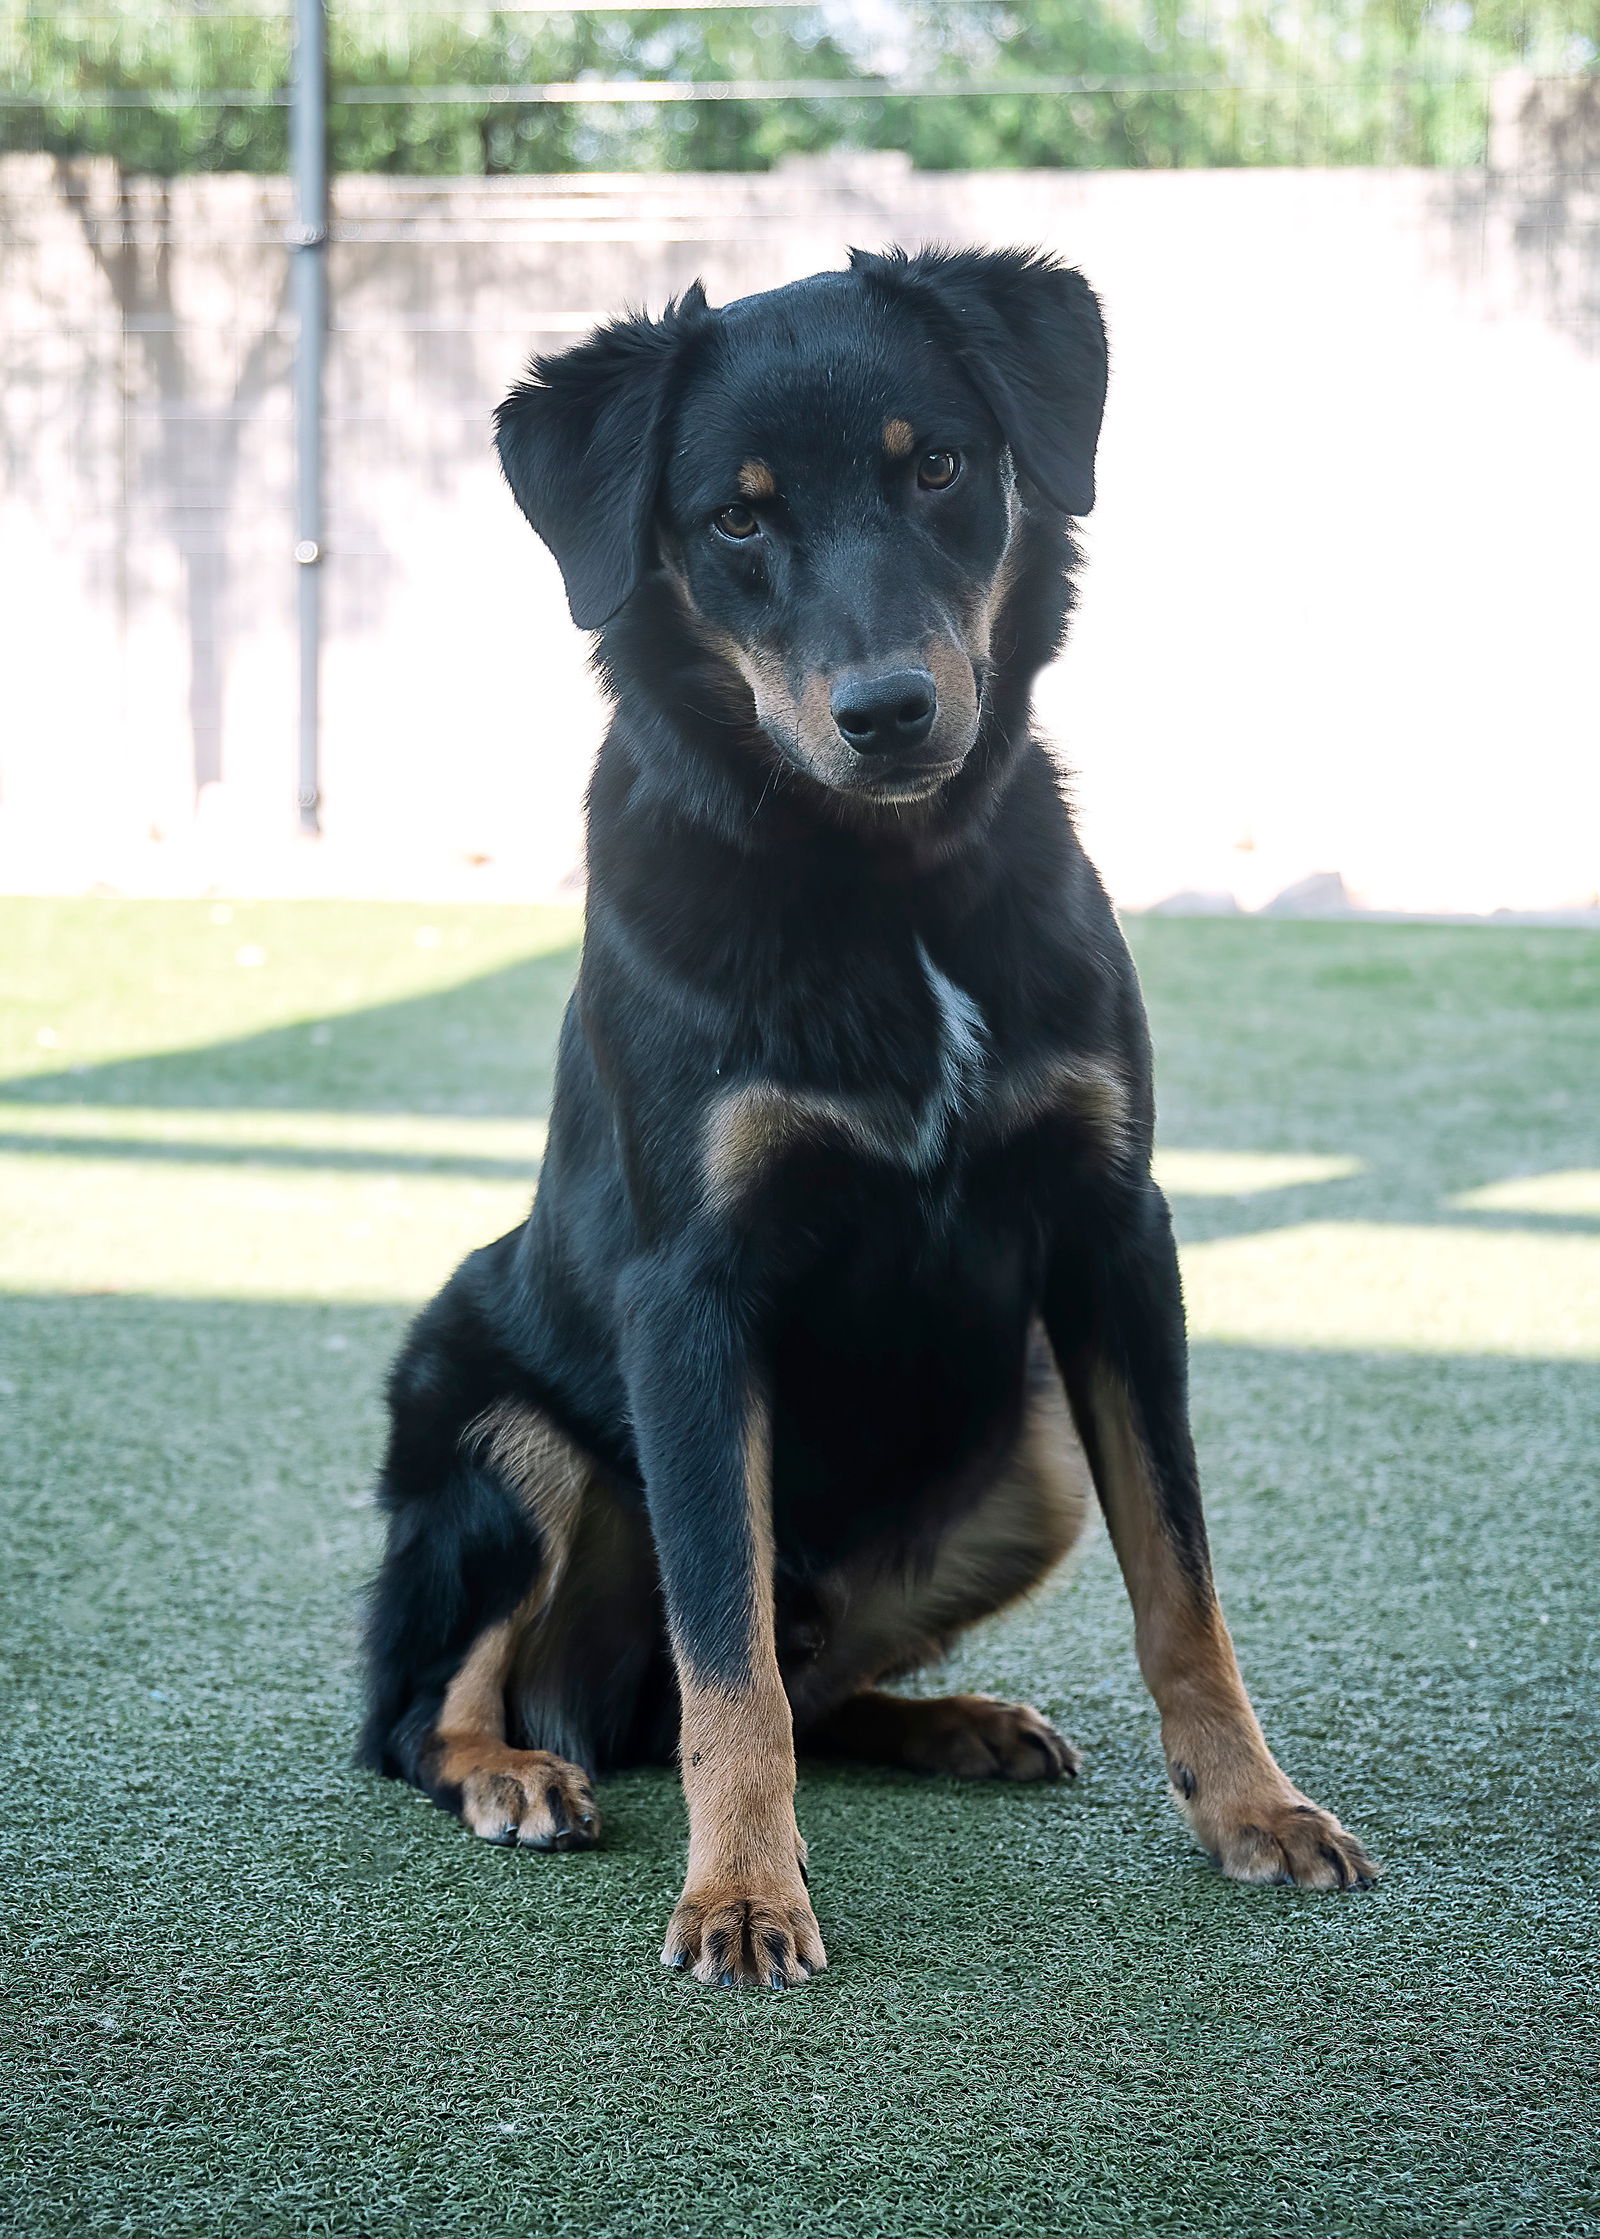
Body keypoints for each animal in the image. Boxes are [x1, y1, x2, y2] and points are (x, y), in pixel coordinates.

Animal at [360, 249, 1378, 1997]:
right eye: (736, 518)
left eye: (939, 467)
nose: (889, 710)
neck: (879, 883)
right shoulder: (691, 1298)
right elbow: (728, 1656)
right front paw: (740, 1893)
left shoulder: (1116, 1234)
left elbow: (1182, 1585)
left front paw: (1253, 1804)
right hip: (500, 1428)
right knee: (437, 1704)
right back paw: (513, 1772)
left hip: (1029, 1454)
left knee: (806, 1680)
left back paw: (953, 1721)